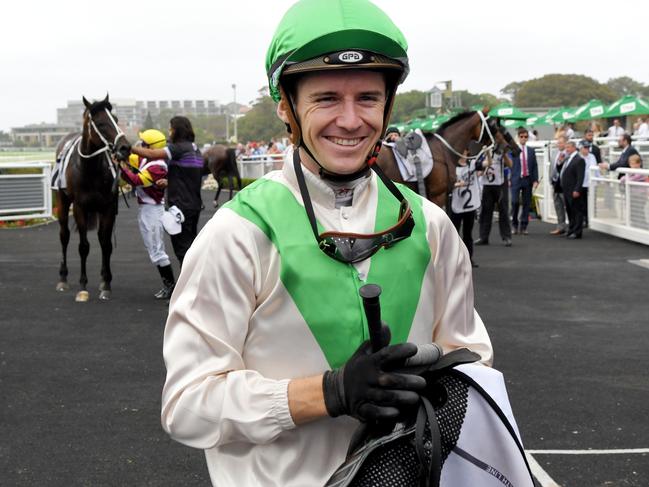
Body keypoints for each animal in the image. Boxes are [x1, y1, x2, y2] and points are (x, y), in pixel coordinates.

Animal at [55, 95, 132, 302]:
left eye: (115, 118)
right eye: (100, 123)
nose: (125, 147)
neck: (89, 169)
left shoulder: (108, 207)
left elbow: (106, 244)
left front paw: (106, 284)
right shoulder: (80, 207)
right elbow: (83, 246)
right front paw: (83, 287)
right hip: (62, 202)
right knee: (64, 235)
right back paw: (62, 278)